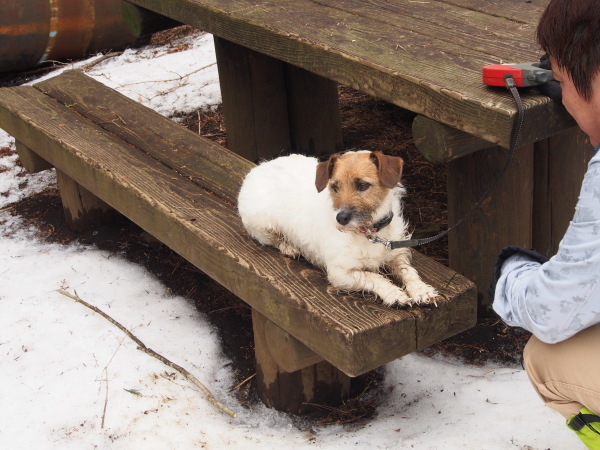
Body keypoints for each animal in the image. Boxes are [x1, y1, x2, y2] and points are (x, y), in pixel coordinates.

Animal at [237, 151, 438, 306]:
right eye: (334, 186)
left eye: (362, 185)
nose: (340, 218)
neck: (369, 233)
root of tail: (259, 168)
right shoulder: (340, 274)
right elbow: (374, 277)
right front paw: (394, 293)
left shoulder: (396, 254)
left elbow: (408, 271)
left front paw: (421, 290)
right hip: (262, 225)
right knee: (273, 239)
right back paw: (289, 246)